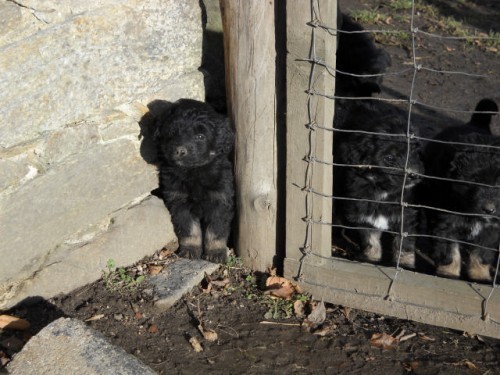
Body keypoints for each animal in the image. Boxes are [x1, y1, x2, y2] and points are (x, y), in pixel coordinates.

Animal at [154, 100, 234, 264]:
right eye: (173, 132)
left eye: (200, 136)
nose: (179, 151)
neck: (194, 172)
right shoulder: (179, 201)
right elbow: (189, 228)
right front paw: (190, 250)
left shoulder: (220, 200)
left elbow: (216, 229)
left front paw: (216, 252)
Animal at [334, 101, 424, 268]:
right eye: (389, 158)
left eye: (414, 152)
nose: (415, 175)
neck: (384, 190)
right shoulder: (363, 211)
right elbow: (371, 240)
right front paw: (371, 259)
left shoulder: (406, 214)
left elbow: (404, 244)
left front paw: (404, 265)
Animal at [422, 100, 500, 282]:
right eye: (473, 181)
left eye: (499, 182)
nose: (489, 209)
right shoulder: (445, 220)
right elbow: (449, 251)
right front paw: (448, 274)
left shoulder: (491, 228)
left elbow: (482, 253)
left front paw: (480, 277)